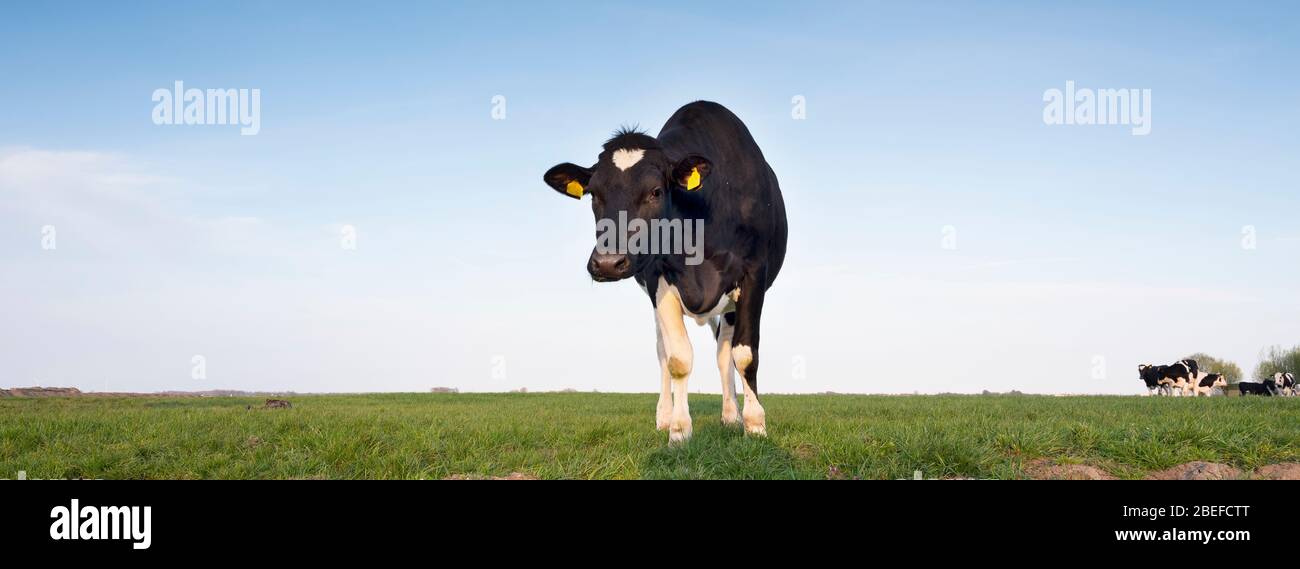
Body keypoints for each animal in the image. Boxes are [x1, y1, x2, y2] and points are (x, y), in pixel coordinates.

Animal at [542, 101, 788, 443]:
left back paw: (730, 416)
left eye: (656, 191)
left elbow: (745, 355)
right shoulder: (658, 280)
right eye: (593, 194)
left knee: (723, 354)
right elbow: (677, 358)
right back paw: (665, 415)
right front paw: (679, 431)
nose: (607, 262)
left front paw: (755, 425)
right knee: (663, 351)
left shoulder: (754, 274)